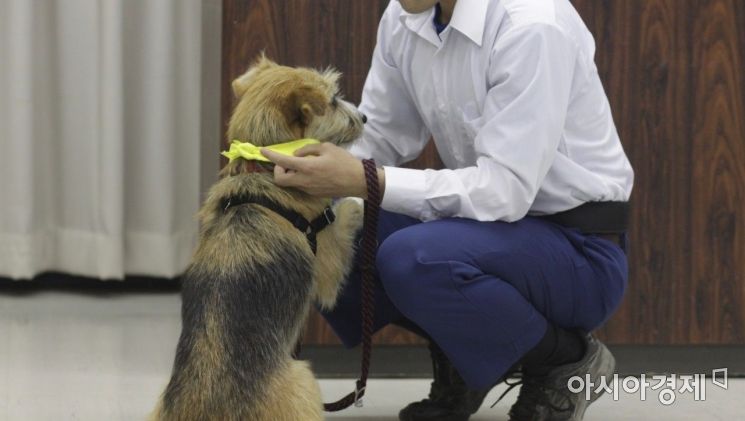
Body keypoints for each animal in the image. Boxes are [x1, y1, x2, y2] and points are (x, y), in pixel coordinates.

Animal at [150, 56, 364, 420]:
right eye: (334, 100)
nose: (364, 117)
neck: (261, 169)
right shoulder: (327, 265)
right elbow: (341, 216)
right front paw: (358, 202)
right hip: (303, 379)